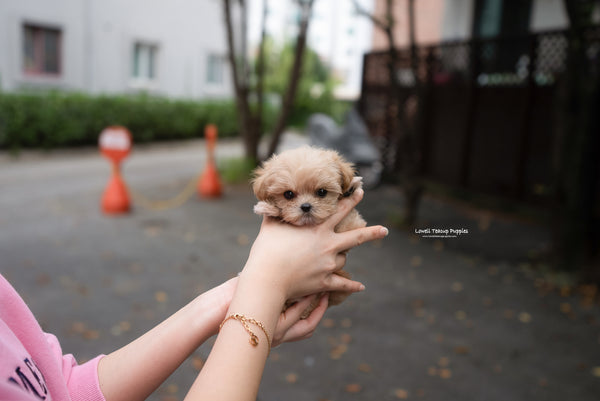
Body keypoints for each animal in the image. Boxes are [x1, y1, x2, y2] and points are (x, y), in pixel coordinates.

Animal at [252, 145, 368, 318]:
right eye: (288, 194)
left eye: (322, 192)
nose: (306, 206)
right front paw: (269, 208)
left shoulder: (350, 229)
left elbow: (347, 222)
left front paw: (350, 189)